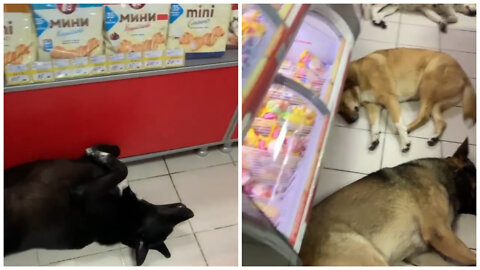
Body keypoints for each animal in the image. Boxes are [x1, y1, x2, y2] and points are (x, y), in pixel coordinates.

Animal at [4, 144, 194, 264]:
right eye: (170, 224)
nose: (189, 212)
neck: (129, 217)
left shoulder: (82, 193)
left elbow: (122, 168)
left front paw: (98, 154)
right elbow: (117, 150)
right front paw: (101, 151)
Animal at [338, 48, 476, 152]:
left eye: (343, 102)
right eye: (338, 112)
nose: (350, 122)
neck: (359, 77)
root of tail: (464, 75)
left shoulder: (390, 99)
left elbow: (398, 123)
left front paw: (404, 142)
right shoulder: (373, 106)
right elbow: (374, 126)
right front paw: (374, 139)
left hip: (427, 84)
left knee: (424, 116)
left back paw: (407, 128)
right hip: (437, 103)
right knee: (441, 122)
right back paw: (434, 137)